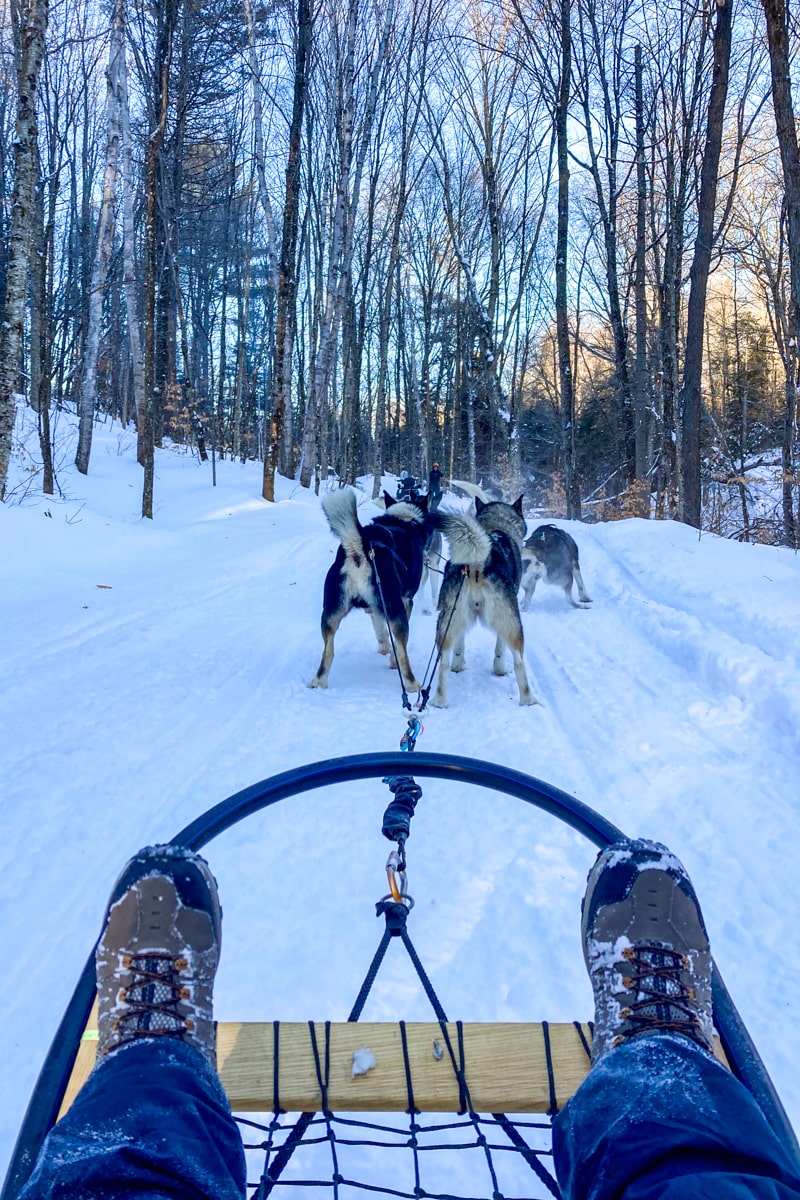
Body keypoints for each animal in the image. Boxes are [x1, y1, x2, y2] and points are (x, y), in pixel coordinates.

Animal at [309, 489, 431, 696]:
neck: (404, 519)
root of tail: (359, 548)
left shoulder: (374, 608)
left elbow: (381, 632)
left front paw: (383, 648)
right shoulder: (406, 601)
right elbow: (397, 647)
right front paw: (392, 660)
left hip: (330, 615)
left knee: (328, 652)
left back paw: (318, 682)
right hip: (396, 610)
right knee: (403, 654)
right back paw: (413, 685)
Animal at [431, 494, 537, 705]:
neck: (495, 526)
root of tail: (477, 562)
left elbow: (459, 646)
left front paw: (458, 664)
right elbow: (500, 649)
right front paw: (499, 670)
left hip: (447, 621)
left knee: (443, 662)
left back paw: (439, 701)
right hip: (512, 623)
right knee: (519, 661)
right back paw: (528, 699)